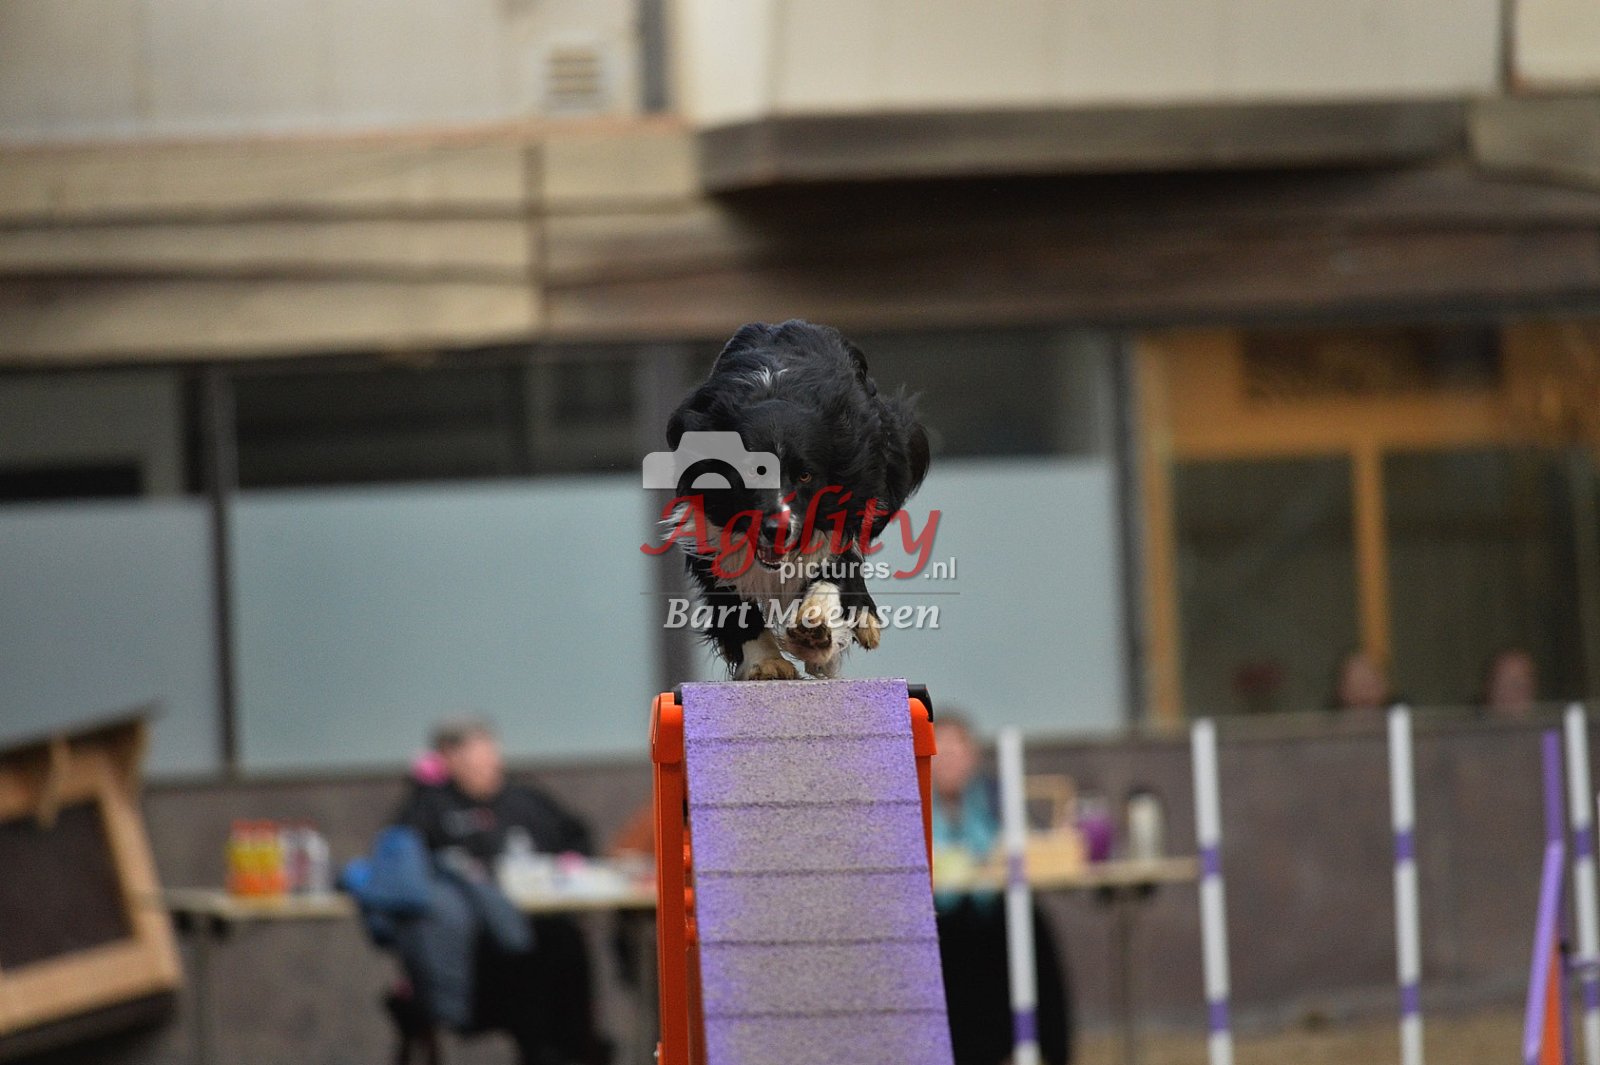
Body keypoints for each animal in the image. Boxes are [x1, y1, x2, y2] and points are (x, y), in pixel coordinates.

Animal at [657, 320, 930, 680]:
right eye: (751, 471)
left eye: (805, 476)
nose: (778, 529)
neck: (775, 390)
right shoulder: (705, 523)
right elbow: (729, 596)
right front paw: (765, 661)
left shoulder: (849, 496)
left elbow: (835, 565)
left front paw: (814, 629)